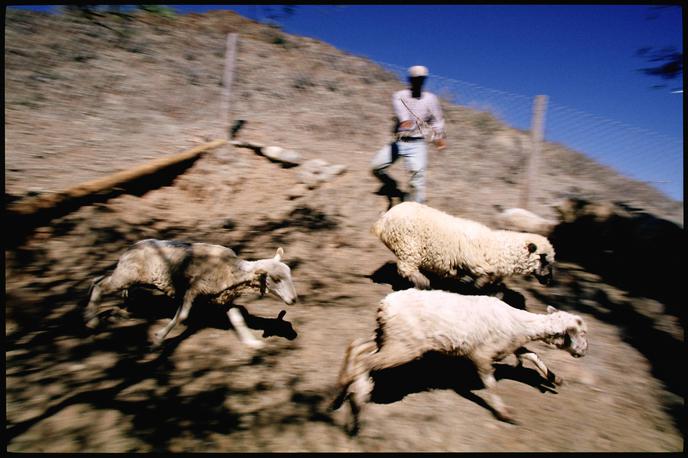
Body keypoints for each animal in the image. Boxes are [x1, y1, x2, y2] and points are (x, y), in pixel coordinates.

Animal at [84, 238, 298, 348]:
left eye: (290, 274)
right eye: (276, 279)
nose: (294, 299)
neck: (231, 271)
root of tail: (130, 247)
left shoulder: (223, 300)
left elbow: (237, 319)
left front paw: (251, 342)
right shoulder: (192, 290)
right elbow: (182, 315)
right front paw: (160, 337)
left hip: (127, 275)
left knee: (97, 279)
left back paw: (114, 310)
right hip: (126, 275)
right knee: (100, 285)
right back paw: (91, 319)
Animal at [374, 201, 556, 288]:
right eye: (543, 258)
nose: (549, 281)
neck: (498, 248)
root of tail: (385, 218)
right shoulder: (475, 264)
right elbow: (480, 280)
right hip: (409, 247)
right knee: (406, 269)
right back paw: (423, 283)